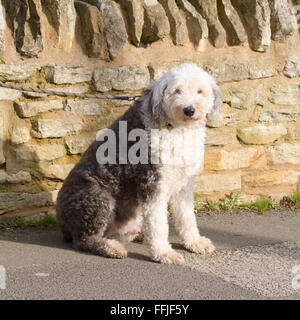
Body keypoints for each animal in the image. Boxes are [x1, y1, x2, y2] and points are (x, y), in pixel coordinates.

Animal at [56, 63, 223, 264]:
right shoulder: (152, 184)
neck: (175, 128)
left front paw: (195, 242)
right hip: (97, 197)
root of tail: (62, 220)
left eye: (200, 91)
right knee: (85, 239)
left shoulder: (183, 184)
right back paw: (112, 248)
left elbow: (186, 217)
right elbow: (158, 225)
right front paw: (164, 253)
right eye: (176, 91)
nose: (189, 110)